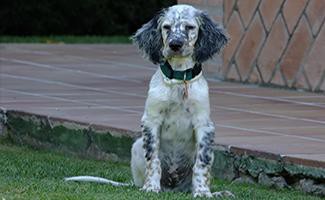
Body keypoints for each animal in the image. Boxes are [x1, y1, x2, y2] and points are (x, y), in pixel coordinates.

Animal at [64, 3, 232, 198]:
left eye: (190, 27)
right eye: (166, 27)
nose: (175, 44)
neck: (178, 79)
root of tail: (173, 189)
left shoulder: (204, 124)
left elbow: (202, 163)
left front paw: (203, 192)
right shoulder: (151, 121)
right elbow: (153, 159)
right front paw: (151, 187)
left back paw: (218, 193)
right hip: (137, 145)